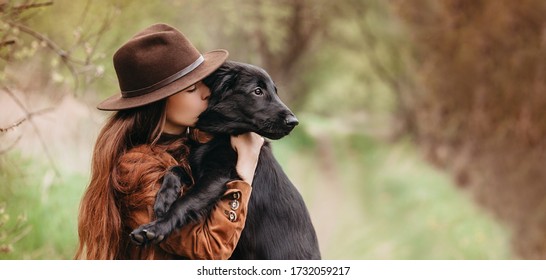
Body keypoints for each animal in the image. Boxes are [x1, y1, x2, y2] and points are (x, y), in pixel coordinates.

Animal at [130, 61, 320, 260]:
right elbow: (175, 169)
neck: (213, 137)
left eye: (275, 91)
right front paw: (165, 198)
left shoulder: (217, 177)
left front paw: (156, 228)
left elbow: (184, 202)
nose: (294, 122)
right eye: (258, 91)